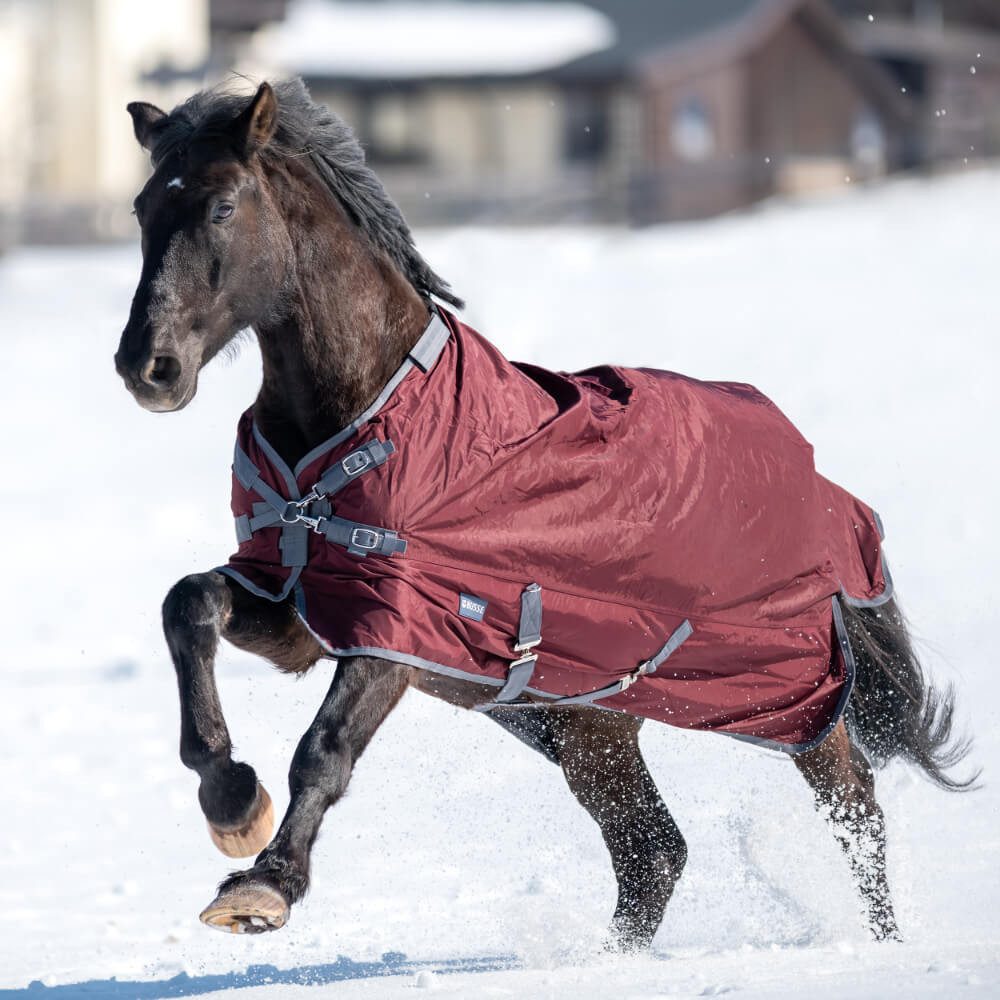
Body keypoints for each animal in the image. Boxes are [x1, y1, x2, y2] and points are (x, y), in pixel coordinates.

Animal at [114, 79, 976, 948]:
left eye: (223, 206)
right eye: (145, 207)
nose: (147, 366)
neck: (362, 412)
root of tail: (828, 493)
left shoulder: (397, 630)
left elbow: (323, 750)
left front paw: (265, 886)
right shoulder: (301, 604)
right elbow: (189, 604)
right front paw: (231, 799)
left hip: (788, 694)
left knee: (854, 804)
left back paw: (884, 943)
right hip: (590, 726)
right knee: (652, 851)